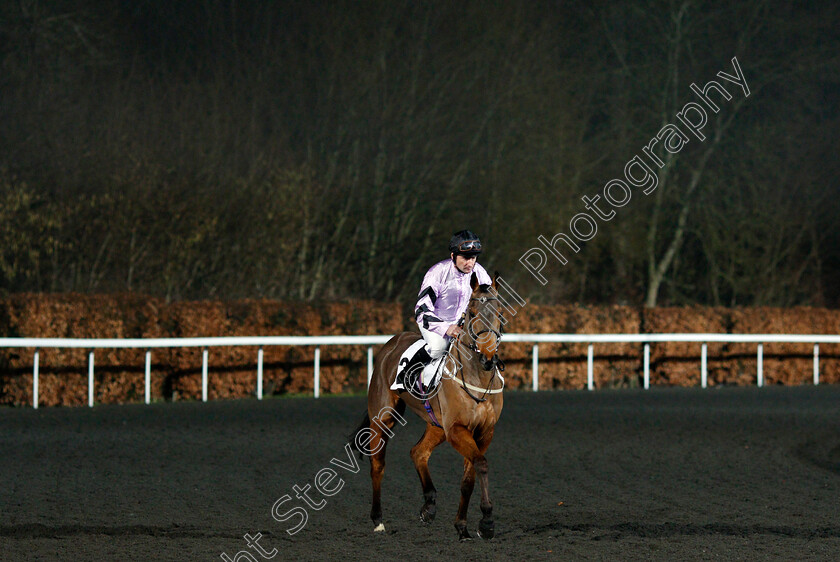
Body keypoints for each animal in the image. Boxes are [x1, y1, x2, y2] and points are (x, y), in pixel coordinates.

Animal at [350, 270, 502, 540]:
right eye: (472, 312)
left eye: (498, 311)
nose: (487, 356)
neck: (478, 379)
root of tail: (392, 343)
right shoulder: (457, 430)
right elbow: (481, 465)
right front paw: (486, 521)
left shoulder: (484, 431)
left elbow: (470, 476)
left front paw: (462, 526)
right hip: (382, 416)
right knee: (377, 464)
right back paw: (378, 519)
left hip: (436, 425)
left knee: (418, 452)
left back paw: (429, 505)